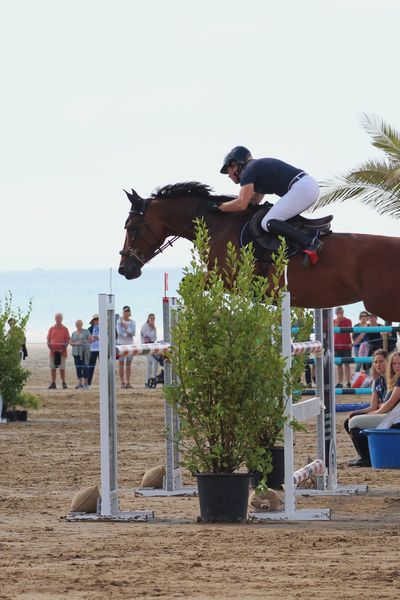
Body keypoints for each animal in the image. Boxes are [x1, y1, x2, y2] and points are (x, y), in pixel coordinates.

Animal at [119, 183, 400, 324]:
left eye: (131, 227)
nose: (124, 269)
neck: (218, 225)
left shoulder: (227, 278)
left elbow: (190, 284)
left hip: (383, 305)